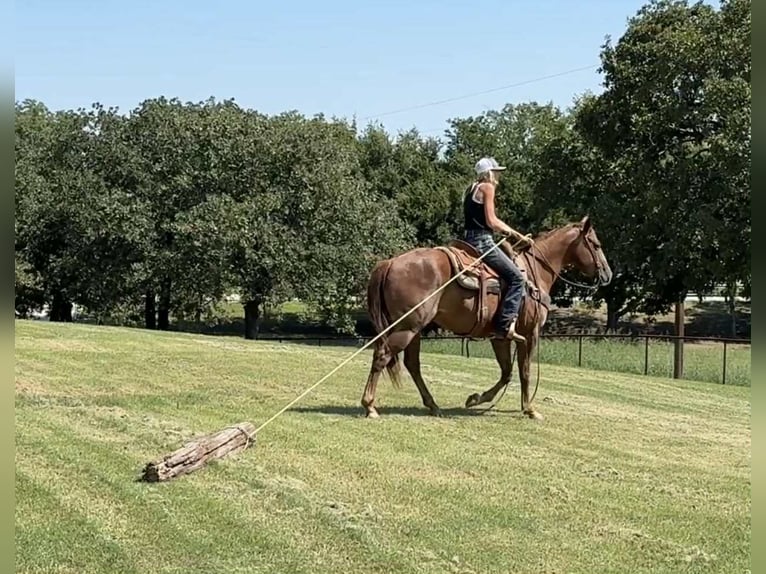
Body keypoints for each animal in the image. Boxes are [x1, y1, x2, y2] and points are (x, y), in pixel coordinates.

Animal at [361, 215, 613, 420]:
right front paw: (529, 409)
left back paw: (433, 405)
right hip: (407, 327)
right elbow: (524, 371)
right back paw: (370, 406)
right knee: (383, 355)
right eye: (596, 245)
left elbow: (507, 372)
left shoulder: (499, 336)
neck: (535, 273)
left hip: (413, 329)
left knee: (412, 364)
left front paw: (476, 399)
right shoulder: (529, 333)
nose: (608, 274)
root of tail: (389, 262)